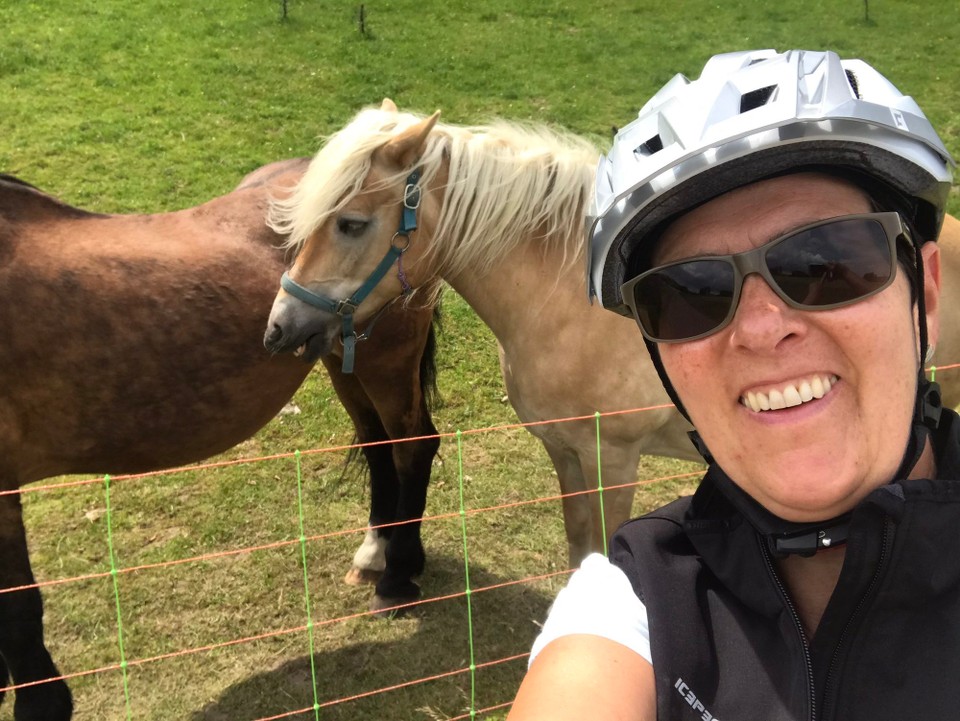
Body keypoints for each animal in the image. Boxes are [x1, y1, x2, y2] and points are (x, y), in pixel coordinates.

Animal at [0, 163, 440, 720]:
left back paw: (397, 577)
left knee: (413, 446)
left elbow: (17, 610)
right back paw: (374, 555)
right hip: (341, 355)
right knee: (378, 446)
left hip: (387, 360)